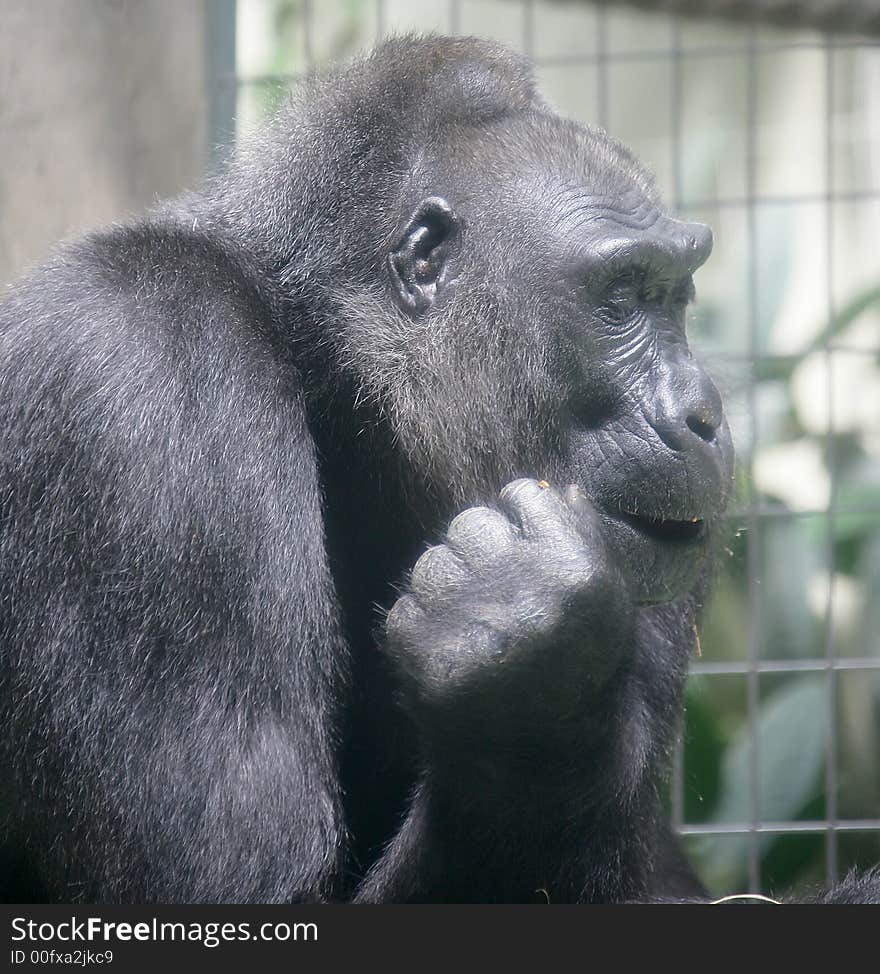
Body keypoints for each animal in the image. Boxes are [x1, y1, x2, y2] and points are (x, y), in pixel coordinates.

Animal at [0, 38, 876, 908]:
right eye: (623, 295)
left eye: (677, 295)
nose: (703, 411)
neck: (333, 375)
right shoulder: (142, 370)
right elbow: (237, 881)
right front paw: (527, 662)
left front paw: (530, 692)